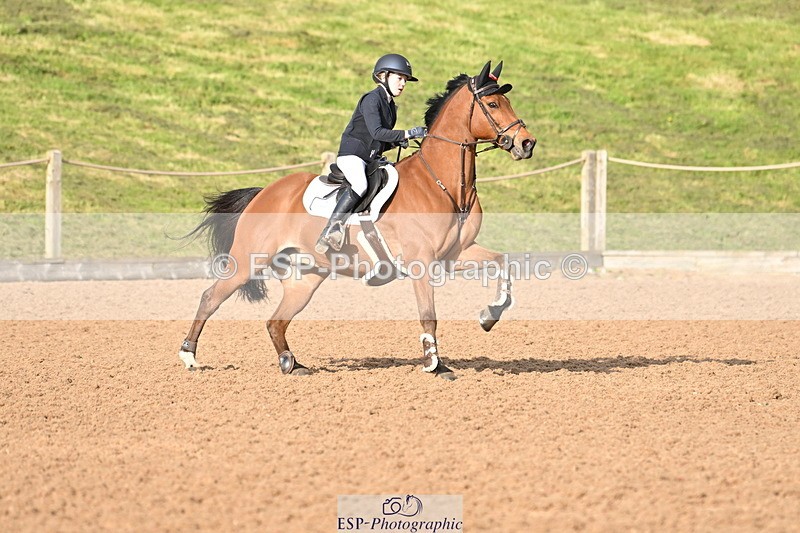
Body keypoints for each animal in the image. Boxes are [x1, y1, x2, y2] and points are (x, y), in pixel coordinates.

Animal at [179, 61, 536, 380]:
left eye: (508, 102)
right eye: (493, 104)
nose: (526, 143)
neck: (443, 183)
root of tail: (265, 191)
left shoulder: (455, 254)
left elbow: (502, 263)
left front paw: (489, 315)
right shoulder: (421, 262)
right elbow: (428, 316)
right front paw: (436, 365)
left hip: (306, 277)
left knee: (276, 321)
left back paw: (291, 364)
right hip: (248, 261)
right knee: (211, 298)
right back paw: (189, 356)